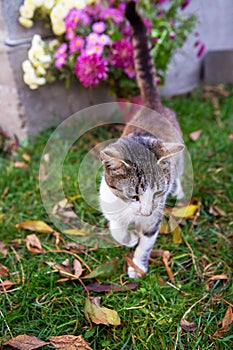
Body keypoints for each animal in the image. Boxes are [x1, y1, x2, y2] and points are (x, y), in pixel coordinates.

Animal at [99, 0, 185, 278]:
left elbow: (147, 241)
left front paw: (138, 264)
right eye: (134, 195)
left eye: (157, 192)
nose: (145, 210)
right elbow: (116, 228)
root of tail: (151, 103)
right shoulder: (110, 205)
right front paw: (128, 239)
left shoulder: (154, 217)